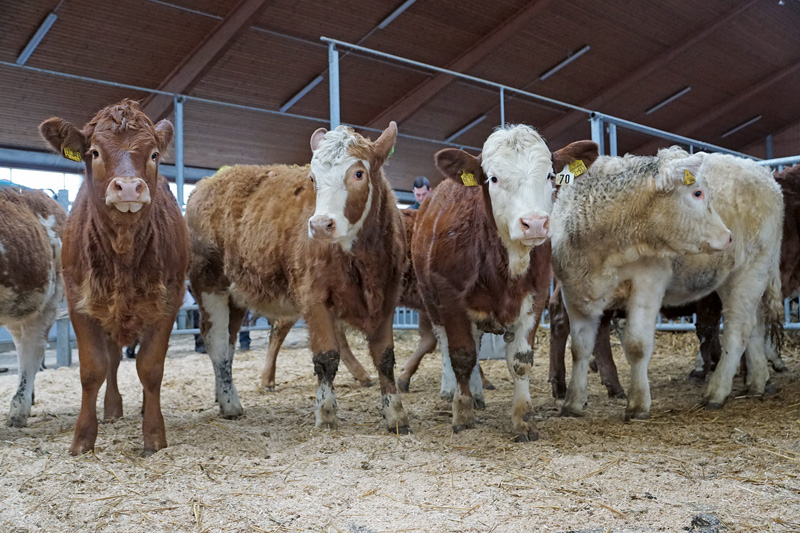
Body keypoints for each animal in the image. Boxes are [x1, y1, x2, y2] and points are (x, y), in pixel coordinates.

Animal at [40, 98, 191, 454]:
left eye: (153, 154)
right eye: (94, 152)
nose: (129, 187)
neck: (123, 253)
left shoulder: (170, 298)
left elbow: (150, 368)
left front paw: (154, 434)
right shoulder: (78, 300)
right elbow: (93, 368)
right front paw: (83, 438)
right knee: (111, 359)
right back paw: (112, 408)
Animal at [188, 122, 410, 430]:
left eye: (358, 173)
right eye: (313, 178)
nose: (320, 225)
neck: (363, 262)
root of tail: (207, 182)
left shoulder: (387, 297)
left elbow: (385, 356)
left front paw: (395, 414)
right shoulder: (313, 296)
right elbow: (327, 357)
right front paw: (326, 413)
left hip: (236, 295)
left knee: (230, 343)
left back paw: (224, 397)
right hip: (209, 283)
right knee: (217, 341)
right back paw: (231, 404)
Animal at [412, 125, 592, 440]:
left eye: (550, 175)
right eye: (493, 178)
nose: (534, 223)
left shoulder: (535, 299)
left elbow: (520, 361)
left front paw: (524, 419)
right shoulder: (450, 300)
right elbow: (461, 356)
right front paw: (462, 413)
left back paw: (477, 394)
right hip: (431, 302)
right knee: (447, 345)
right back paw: (453, 392)